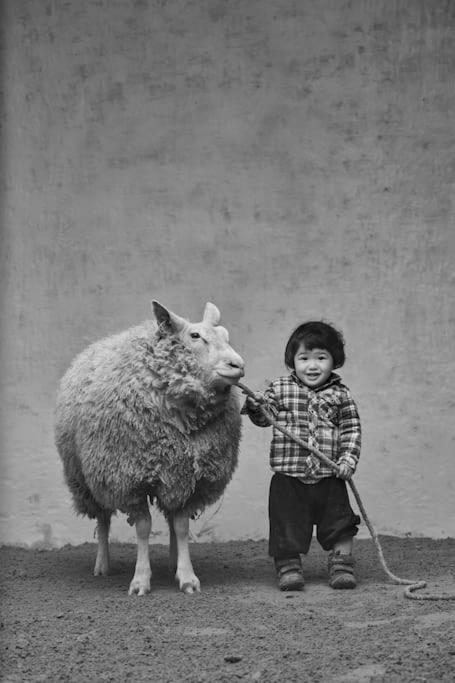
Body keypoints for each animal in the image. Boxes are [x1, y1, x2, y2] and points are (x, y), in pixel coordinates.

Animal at [55, 302, 246, 596]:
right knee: (102, 521)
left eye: (225, 335)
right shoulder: (129, 479)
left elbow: (181, 526)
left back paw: (172, 562)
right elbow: (144, 529)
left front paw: (186, 576)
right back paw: (102, 565)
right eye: (194, 336)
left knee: (169, 523)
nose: (237, 365)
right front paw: (141, 579)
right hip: (88, 479)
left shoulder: (187, 478)